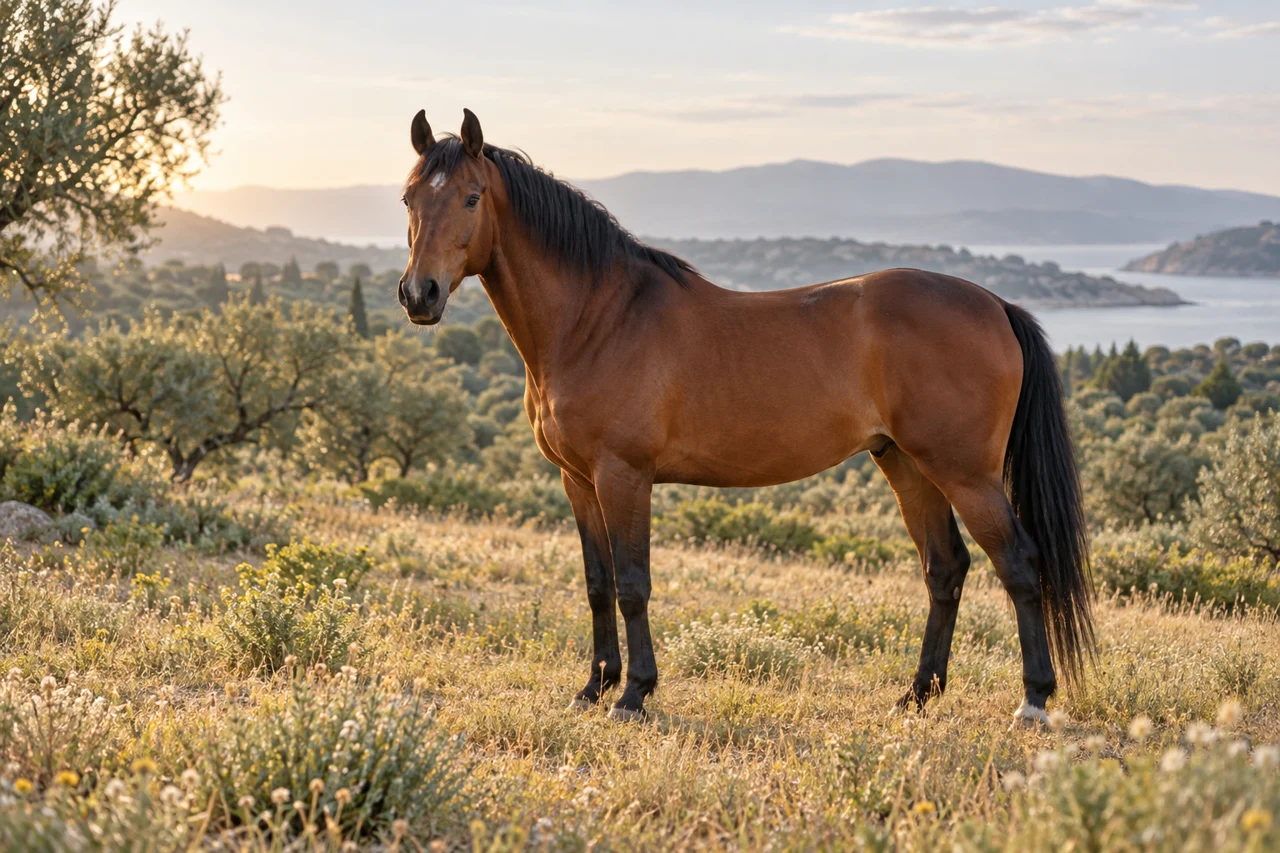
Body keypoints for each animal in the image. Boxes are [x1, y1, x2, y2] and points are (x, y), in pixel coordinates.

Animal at [397, 108, 1094, 726]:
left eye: (471, 197)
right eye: (408, 198)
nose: (418, 295)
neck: (599, 318)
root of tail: (996, 305)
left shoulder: (624, 476)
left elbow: (632, 584)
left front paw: (634, 695)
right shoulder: (576, 479)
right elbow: (597, 584)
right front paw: (592, 689)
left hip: (965, 473)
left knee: (1019, 565)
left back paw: (1033, 701)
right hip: (906, 464)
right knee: (945, 570)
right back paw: (916, 696)